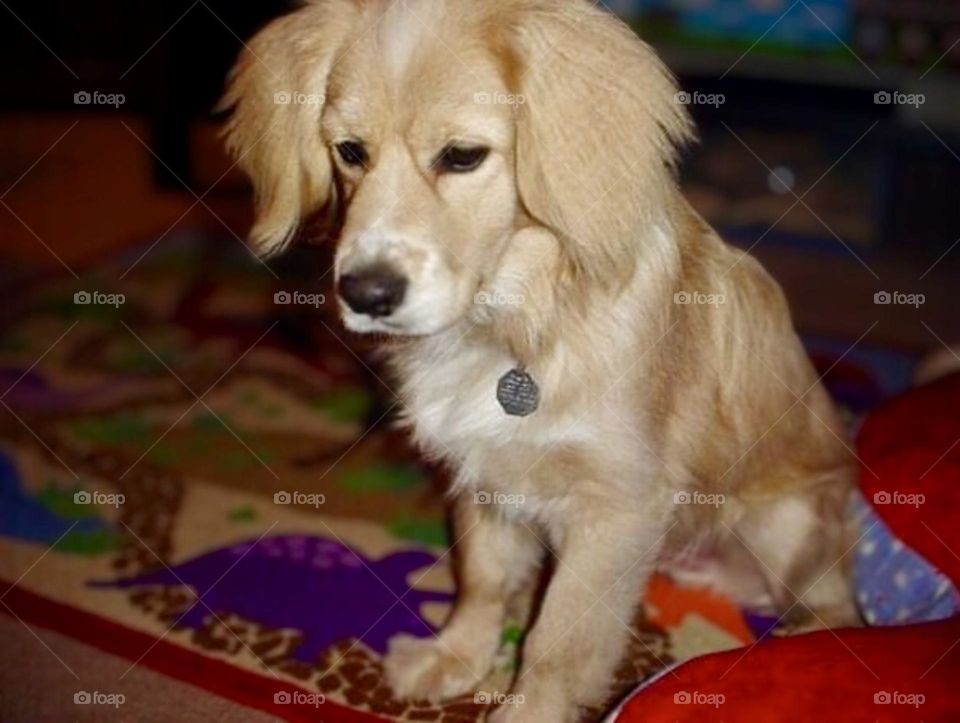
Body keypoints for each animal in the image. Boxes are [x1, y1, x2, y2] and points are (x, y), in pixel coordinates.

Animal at [225, 2, 864, 720]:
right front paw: (455, 658)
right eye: (350, 152)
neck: (515, 323)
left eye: (463, 156)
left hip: (790, 525)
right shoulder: (482, 475)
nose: (365, 293)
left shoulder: (614, 508)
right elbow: (481, 579)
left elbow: (559, 639)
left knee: (836, 606)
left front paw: (529, 708)